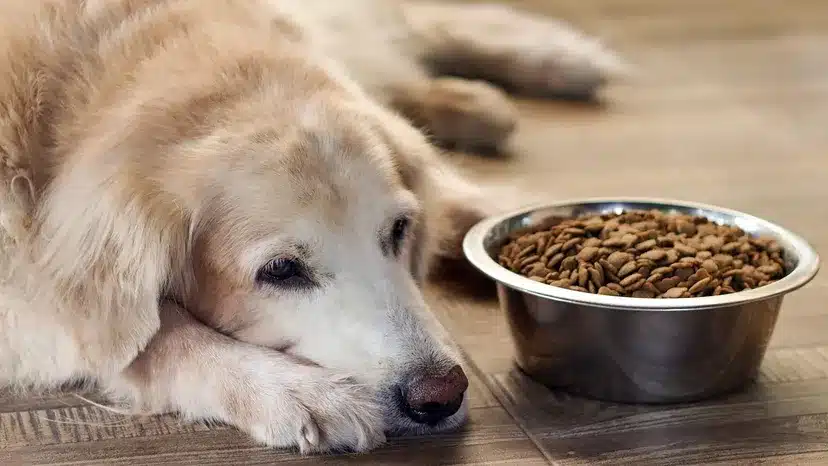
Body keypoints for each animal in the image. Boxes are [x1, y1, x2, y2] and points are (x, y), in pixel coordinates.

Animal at [0, 0, 620, 454]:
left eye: (398, 230)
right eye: (281, 271)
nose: (440, 396)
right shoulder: (28, 291)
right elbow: (153, 336)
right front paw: (296, 392)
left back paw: (547, 66)